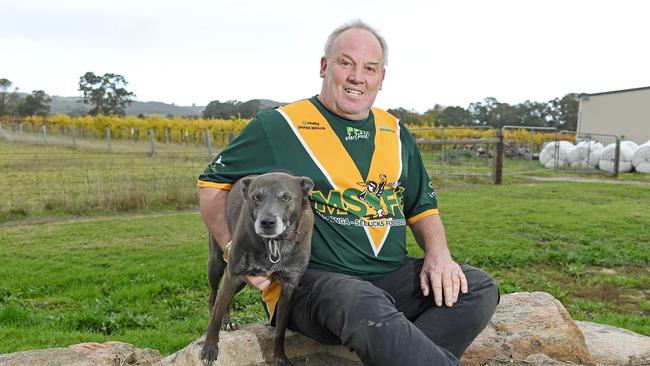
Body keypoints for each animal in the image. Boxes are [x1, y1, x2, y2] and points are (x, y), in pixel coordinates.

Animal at [201, 172, 316, 366]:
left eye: (286, 197)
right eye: (256, 197)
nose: (267, 222)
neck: (274, 244)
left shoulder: (288, 288)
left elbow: (280, 331)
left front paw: (280, 358)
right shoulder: (233, 274)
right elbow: (216, 316)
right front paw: (209, 348)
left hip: (240, 281)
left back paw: (227, 321)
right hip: (218, 266)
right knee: (214, 298)